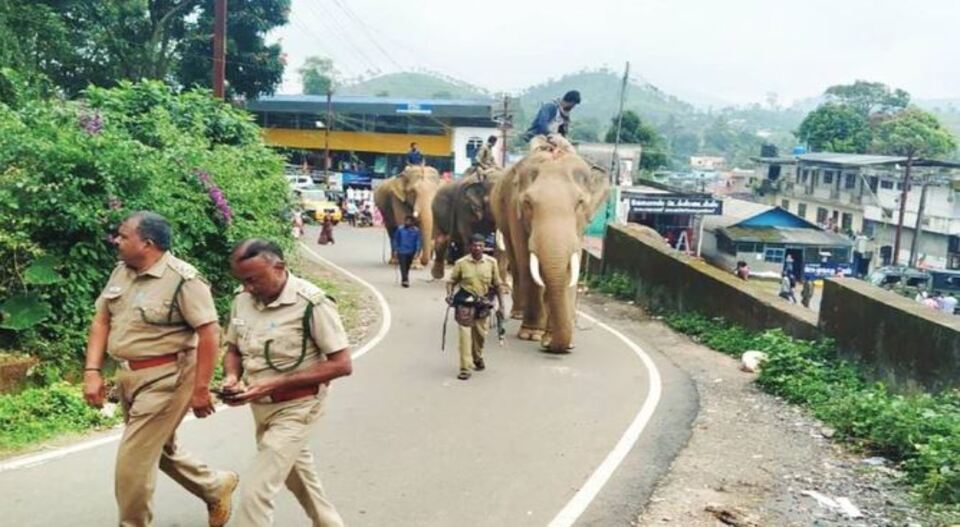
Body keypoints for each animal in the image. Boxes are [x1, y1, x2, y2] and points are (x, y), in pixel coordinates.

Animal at [496, 135, 608, 354]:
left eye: (580, 203)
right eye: (528, 203)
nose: (548, 346)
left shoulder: (579, 230)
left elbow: (570, 269)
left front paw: (557, 340)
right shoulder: (515, 213)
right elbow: (528, 265)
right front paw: (531, 335)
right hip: (503, 219)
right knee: (517, 264)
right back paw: (518, 315)